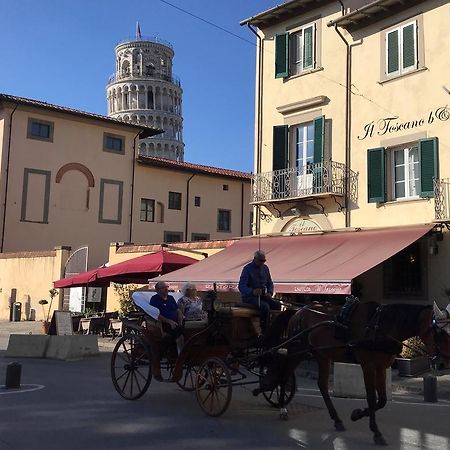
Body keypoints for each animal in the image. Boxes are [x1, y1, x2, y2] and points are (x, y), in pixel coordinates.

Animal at [258, 300, 450, 444]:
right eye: (439, 333)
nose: (443, 363)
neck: (381, 326)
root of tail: (299, 311)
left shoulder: (381, 367)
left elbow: (382, 400)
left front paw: (357, 414)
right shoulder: (368, 365)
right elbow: (372, 398)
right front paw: (375, 431)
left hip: (322, 355)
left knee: (322, 385)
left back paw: (336, 419)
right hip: (298, 351)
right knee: (284, 375)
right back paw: (283, 408)